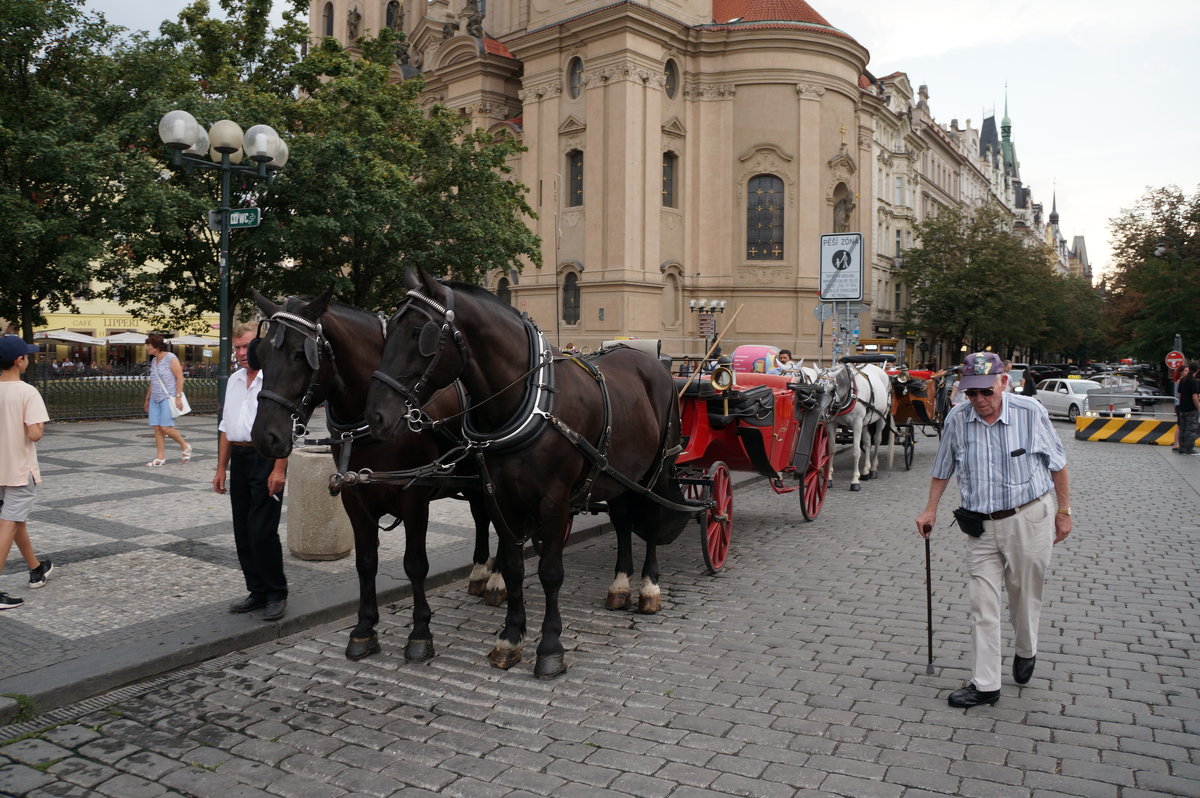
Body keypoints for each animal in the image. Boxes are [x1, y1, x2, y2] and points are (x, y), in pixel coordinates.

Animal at [249, 289, 501, 662]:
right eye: (262, 354)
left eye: (299, 354)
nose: (264, 436)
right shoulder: (356, 500)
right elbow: (366, 563)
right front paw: (364, 629)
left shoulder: (414, 499)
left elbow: (415, 564)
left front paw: (420, 632)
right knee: (483, 517)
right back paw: (481, 572)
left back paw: (497, 579)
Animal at [364, 268, 691, 676]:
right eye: (389, 327)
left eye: (417, 334)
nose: (376, 415)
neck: (527, 401)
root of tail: (653, 363)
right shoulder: (500, 496)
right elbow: (513, 567)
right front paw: (510, 637)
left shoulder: (553, 501)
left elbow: (550, 572)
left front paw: (550, 647)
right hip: (616, 475)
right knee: (622, 522)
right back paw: (619, 586)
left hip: (656, 472)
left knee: (650, 521)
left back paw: (648, 587)